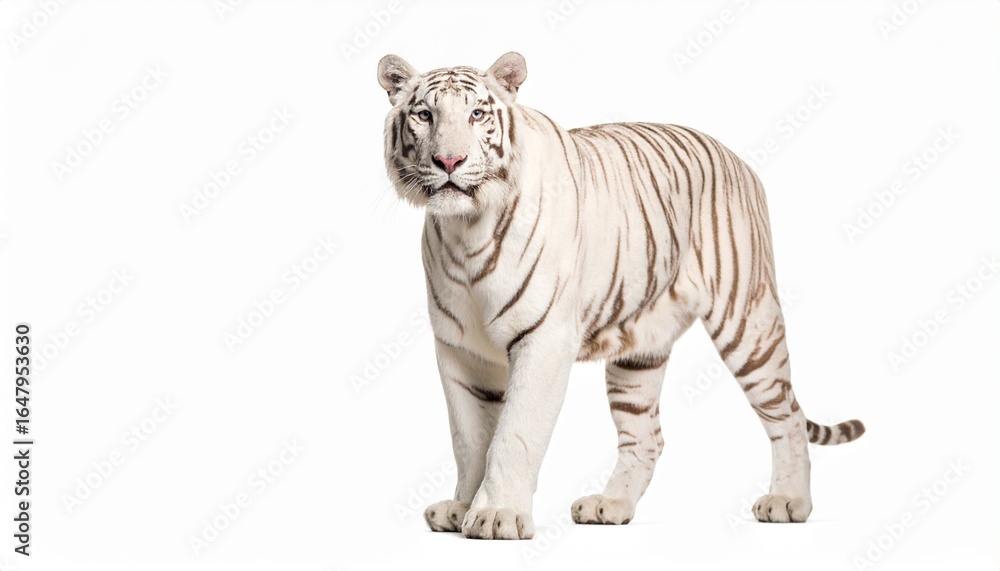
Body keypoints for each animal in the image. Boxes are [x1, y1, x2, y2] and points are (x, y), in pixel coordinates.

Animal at [378, 51, 865, 540]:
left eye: (477, 114)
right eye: (425, 115)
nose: (449, 160)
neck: (466, 230)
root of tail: (738, 159)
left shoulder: (544, 340)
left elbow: (513, 434)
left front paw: (497, 514)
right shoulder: (459, 349)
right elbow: (469, 438)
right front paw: (461, 507)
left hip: (747, 322)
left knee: (788, 415)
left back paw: (789, 500)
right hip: (639, 353)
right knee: (648, 436)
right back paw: (610, 505)